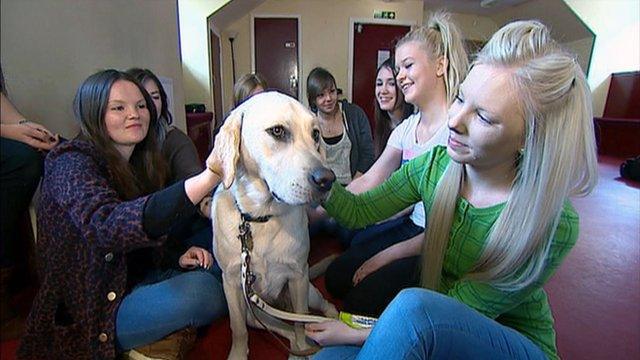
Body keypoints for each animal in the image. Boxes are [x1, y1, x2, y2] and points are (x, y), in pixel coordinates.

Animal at [211, 91, 340, 358]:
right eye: (278, 131)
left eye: (315, 134)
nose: (327, 180)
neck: (262, 218)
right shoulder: (231, 282)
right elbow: (237, 329)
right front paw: (238, 353)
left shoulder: (298, 276)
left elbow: (301, 323)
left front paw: (304, 346)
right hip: (255, 314)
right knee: (283, 328)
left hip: (309, 291)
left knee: (317, 311)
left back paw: (331, 323)